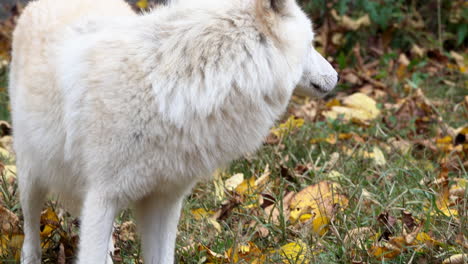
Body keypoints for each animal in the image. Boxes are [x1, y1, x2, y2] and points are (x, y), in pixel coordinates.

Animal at [9, 0, 338, 262]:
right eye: (311, 43)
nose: (336, 77)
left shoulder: (164, 201)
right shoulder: (102, 197)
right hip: (31, 175)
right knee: (31, 230)